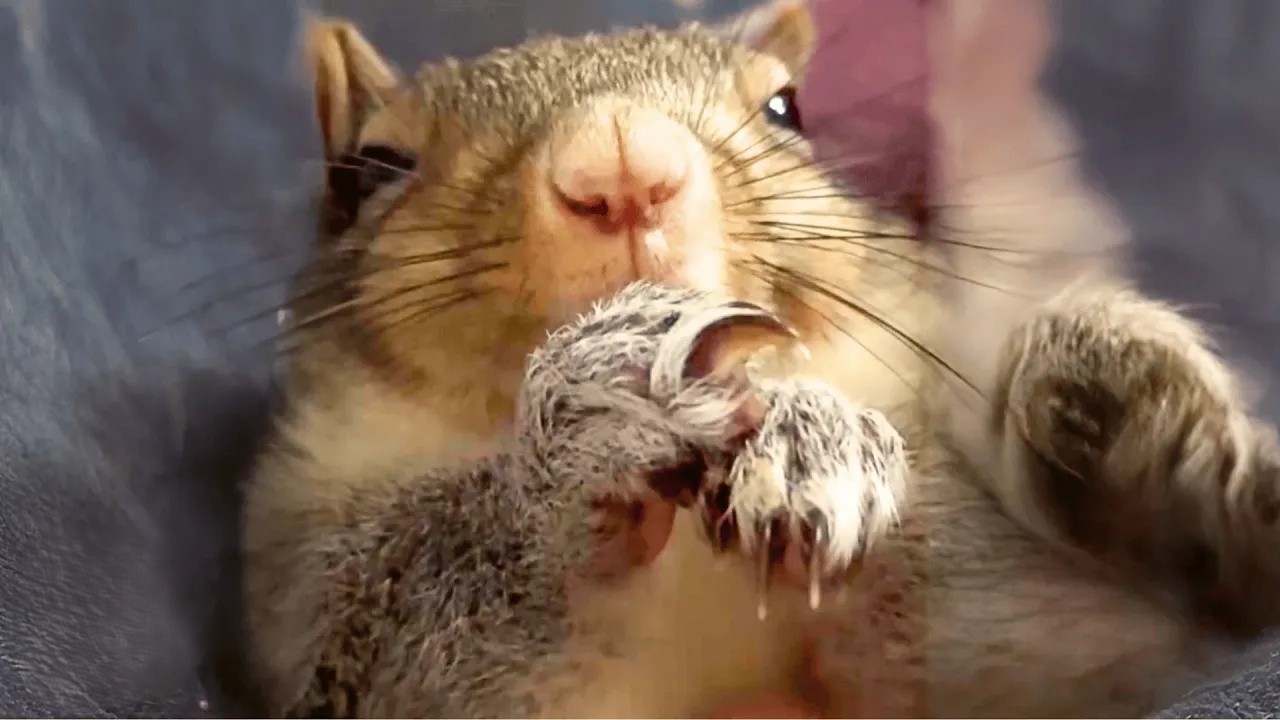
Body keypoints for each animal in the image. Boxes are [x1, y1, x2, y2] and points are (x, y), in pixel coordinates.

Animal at [242, 1, 1280, 717]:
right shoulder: (314, 608)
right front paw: (592, 419)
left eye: (788, 110)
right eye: (372, 167)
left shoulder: (1039, 623)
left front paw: (1153, 422)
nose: (622, 164)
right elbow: (415, 624)